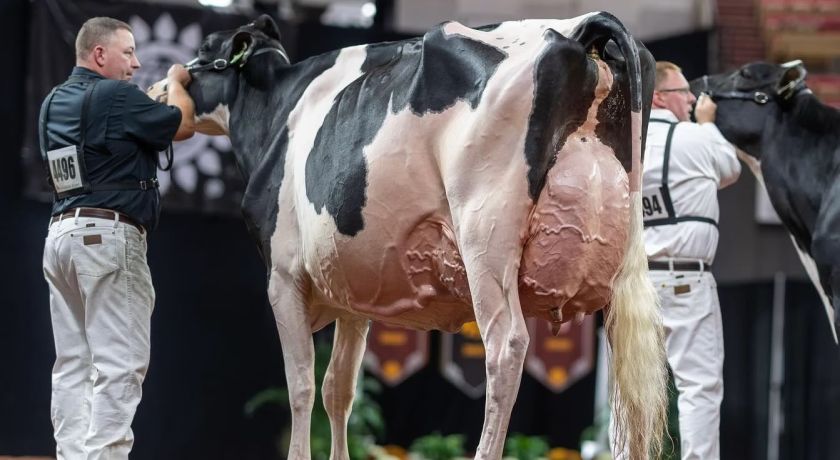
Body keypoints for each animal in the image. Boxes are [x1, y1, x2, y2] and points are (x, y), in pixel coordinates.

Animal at [152, 12, 667, 459]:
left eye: (205, 50)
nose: (159, 86)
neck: (277, 112)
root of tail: (581, 26)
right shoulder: (352, 295)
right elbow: (338, 388)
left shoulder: (282, 277)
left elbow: (300, 384)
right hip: (618, 266)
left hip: (486, 235)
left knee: (506, 347)